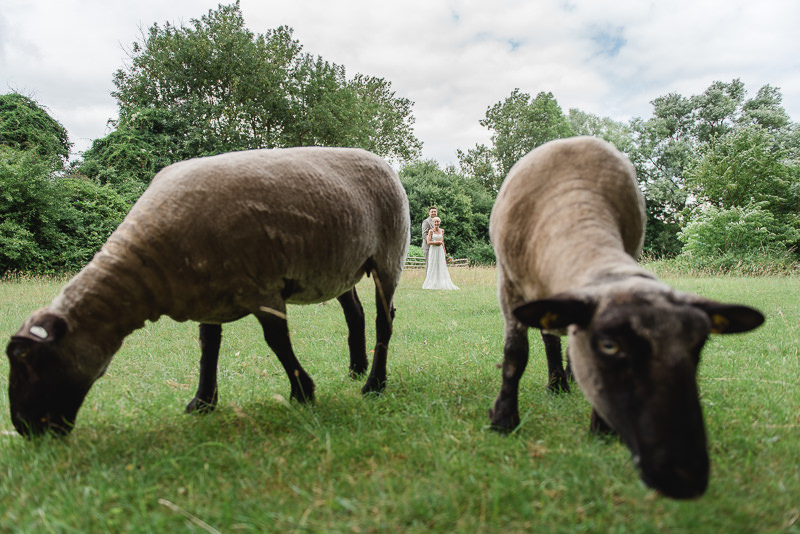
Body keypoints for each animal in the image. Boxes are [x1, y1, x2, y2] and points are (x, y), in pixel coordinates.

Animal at [4, 148, 406, 440]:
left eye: (29, 362)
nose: (24, 429)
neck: (149, 263)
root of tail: (379, 159)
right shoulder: (208, 298)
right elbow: (207, 348)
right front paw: (202, 402)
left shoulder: (263, 287)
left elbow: (277, 341)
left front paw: (302, 393)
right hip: (342, 265)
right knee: (355, 313)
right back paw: (356, 368)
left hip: (388, 255)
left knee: (384, 320)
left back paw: (374, 384)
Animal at [488, 136, 764, 500]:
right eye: (609, 345)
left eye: (699, 347)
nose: (685, 477)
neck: (573, 208)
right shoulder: (509, 288)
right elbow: (515, 358)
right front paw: (503, 421)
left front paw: (601, 431)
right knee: (548, 338)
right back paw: (557, 384)